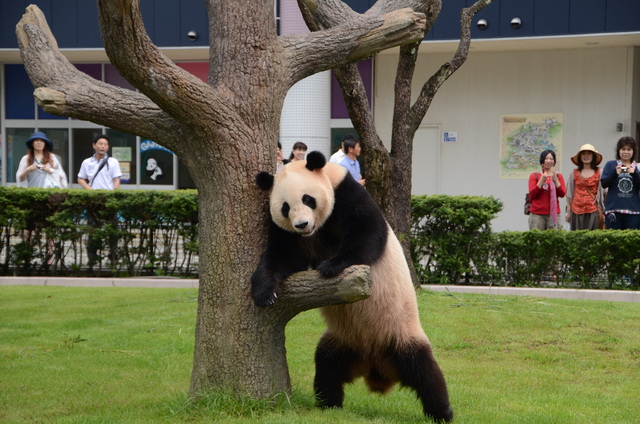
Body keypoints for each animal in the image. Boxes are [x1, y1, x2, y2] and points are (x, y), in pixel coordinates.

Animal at [252, 152, 452, 420]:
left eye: (308, 199)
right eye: (285, 207)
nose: (302, 224)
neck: (318, 228)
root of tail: (375, 364)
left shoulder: (347, 194)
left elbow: (367, 232)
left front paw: (331, 266)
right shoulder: (289, 234)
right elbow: (283, 256)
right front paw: (265, 292)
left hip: (401, 334)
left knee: (426, 373)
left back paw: (442, 413)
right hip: (342, 342)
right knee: (326, 367)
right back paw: (328, 403)